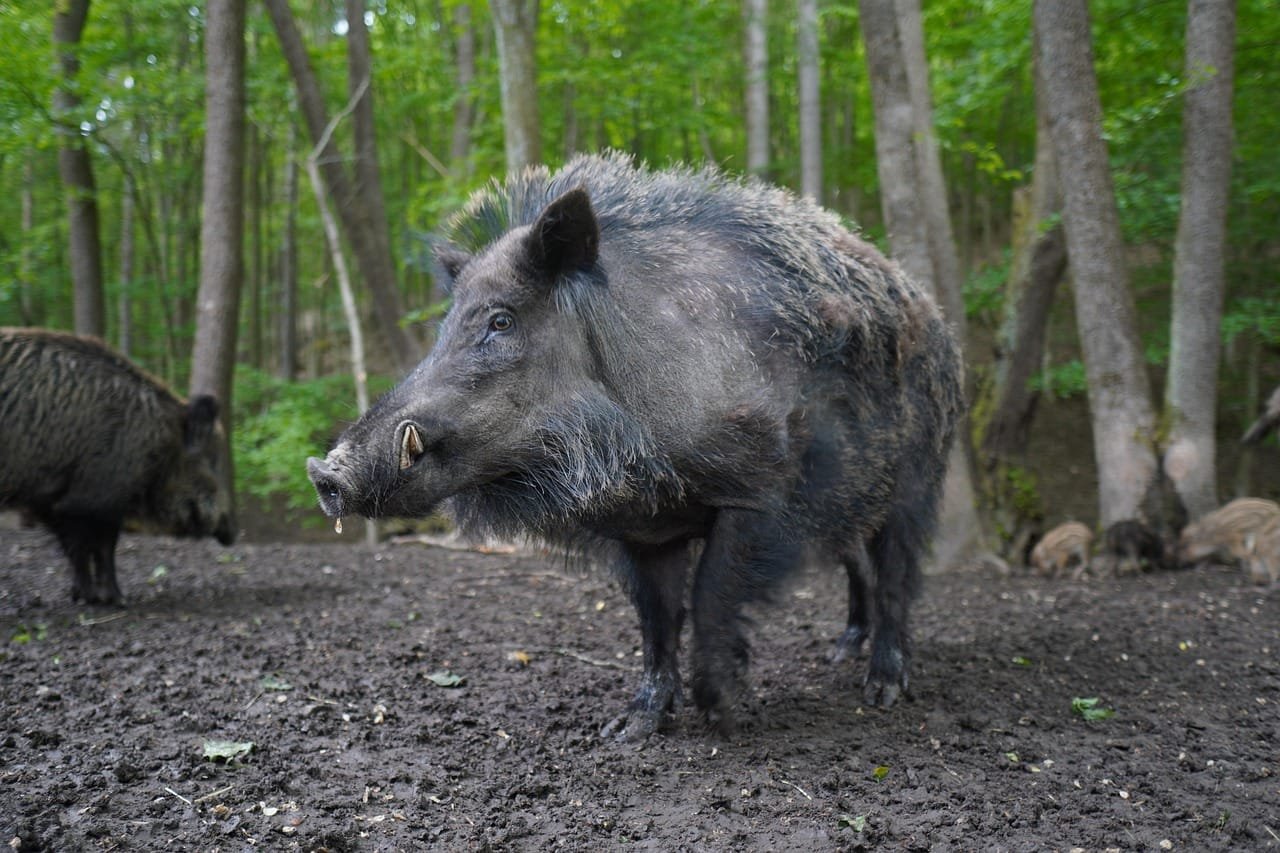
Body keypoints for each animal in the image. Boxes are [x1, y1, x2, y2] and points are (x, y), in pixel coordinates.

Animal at [0, 328, 236, 604]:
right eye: (213, 460)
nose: (234, 531)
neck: (160, 443)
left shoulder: (56, 502)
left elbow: (86, 549)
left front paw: (91, 596)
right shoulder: (91, 498)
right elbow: (97, 549)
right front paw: (109, 599)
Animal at [308, 152, 964, 739]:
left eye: (500, 321)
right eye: (443, 328)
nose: (324, 472)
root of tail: (937, 321)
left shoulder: (760, 494)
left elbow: (710, 596)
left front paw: (724, 716)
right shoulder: (644, 530)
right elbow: (655, 620)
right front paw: (629, 729)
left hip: (919, 478)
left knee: (897, 575)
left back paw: (881, 691)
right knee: (859, 568)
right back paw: (839, 655)